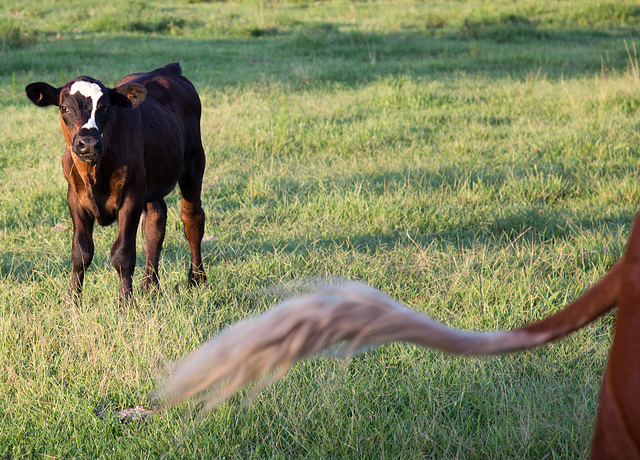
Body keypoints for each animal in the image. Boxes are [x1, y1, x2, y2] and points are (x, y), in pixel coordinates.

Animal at [26, 63, 206, 306]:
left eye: (106, 108)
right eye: (64, 107)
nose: (88, 143)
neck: (94, 172)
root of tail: (168, 69)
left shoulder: (131, 197)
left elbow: (123, 254)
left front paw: (126, 304)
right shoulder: (75, 199)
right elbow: (80, 252)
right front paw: (71, 302)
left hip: (194, 163)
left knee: (192, 219)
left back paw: (197, 278)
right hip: (152, 178)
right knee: (156, 222)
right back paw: (150, 286)